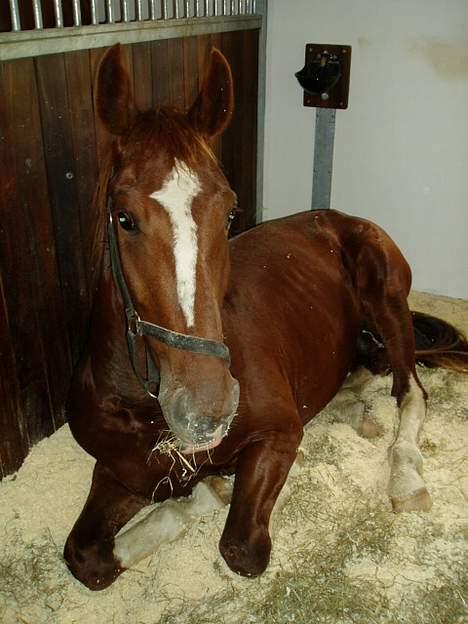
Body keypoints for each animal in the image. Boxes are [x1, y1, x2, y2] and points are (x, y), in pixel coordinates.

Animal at [63, 44, 468, 588]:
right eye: (124, 218)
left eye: (231, 213)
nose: (205, 410)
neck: (142, 408)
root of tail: (338, 217)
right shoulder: (117, 470)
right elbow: (88, 557)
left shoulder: (279, 436)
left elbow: (240, 546)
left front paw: (210, 490)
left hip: (387, 298)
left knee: (411, 393)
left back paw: (406, 479)